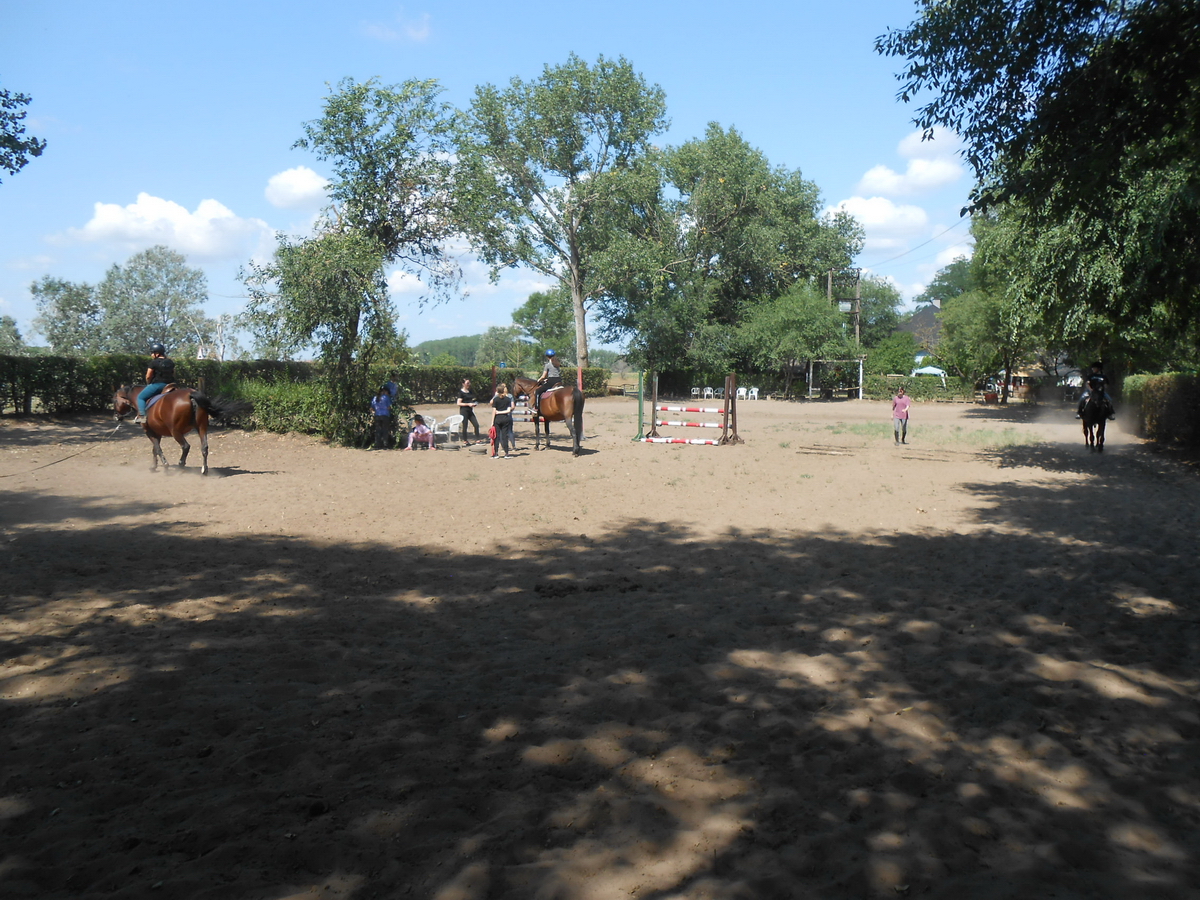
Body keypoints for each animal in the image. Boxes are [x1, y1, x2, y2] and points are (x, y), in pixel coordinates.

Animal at [114, 385, 252, 475]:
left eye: (114, 400)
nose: (117, 416)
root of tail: (190, 394)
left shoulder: (150, 432)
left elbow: (157, 449)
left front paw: (165, 466)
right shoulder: (157, 433)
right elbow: (154, 450)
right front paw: (153, 467)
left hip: (176, 432)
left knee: (186, 446)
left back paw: (181, 465)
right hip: (202, 427)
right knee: (204, 447)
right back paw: (204, 469)